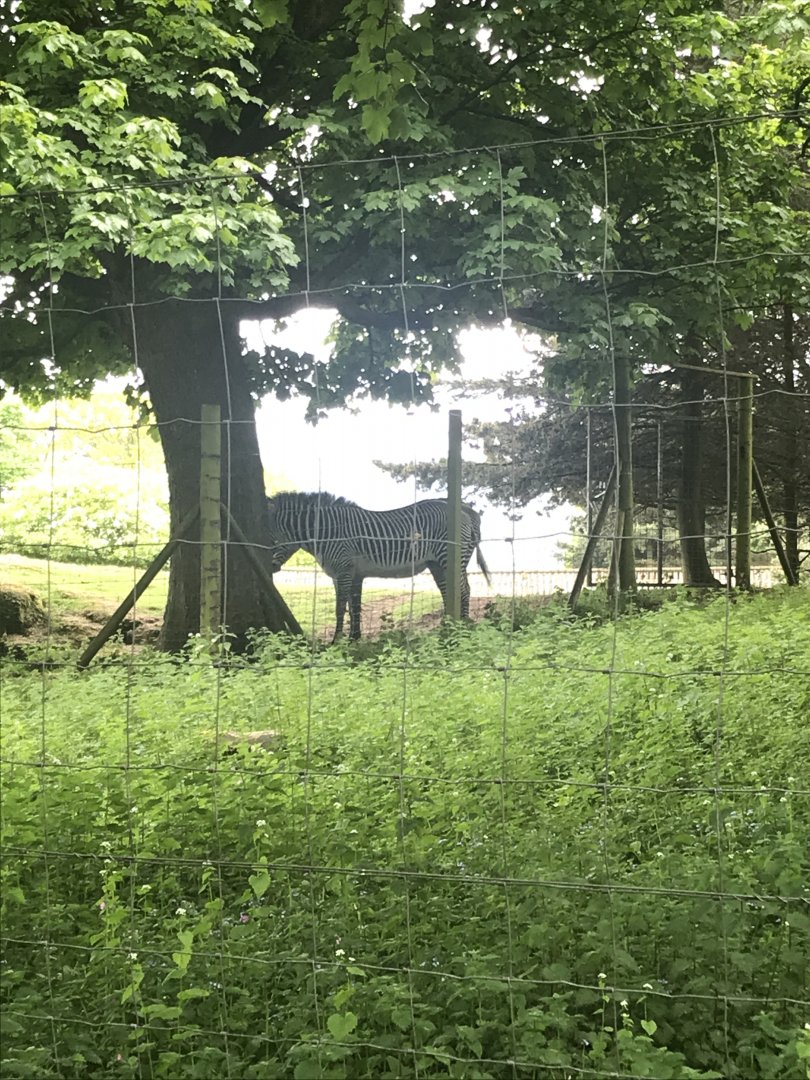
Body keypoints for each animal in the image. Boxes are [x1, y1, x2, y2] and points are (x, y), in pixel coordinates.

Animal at [266, 492, 491, 640]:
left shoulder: (344, 570)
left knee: (464, 589)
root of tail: (466, 511)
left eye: (272, 540)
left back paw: (462, 626)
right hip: (436, 564)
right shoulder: (349, 574)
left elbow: (340, 607)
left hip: (450, 558)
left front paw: (337, 641)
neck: (328, 532)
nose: (270, 568)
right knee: (448, 591)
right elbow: (353, 606)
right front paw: (354, 637)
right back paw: (447, 626)